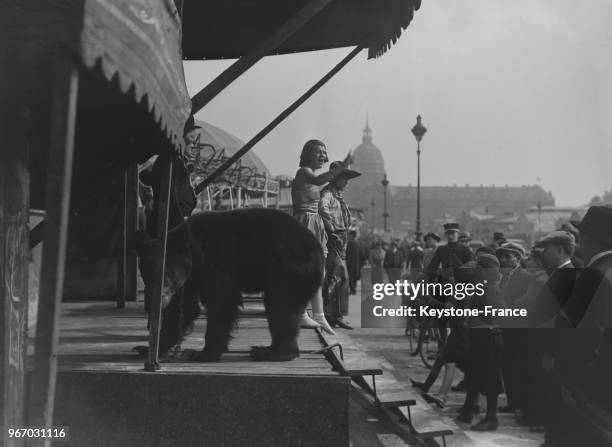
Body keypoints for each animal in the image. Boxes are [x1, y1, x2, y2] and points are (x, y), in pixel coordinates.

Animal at [135, 208, 326, 362]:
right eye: (147, 274)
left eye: (166, 274)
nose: (152, 302)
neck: (196, 252)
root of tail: (318, 250)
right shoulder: (192, 277)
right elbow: (184, 308)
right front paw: (147, 349)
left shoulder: (217, 261)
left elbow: (222, 300)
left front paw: (203, 353)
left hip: (289, 268)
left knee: (280, 305)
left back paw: (272, 352)